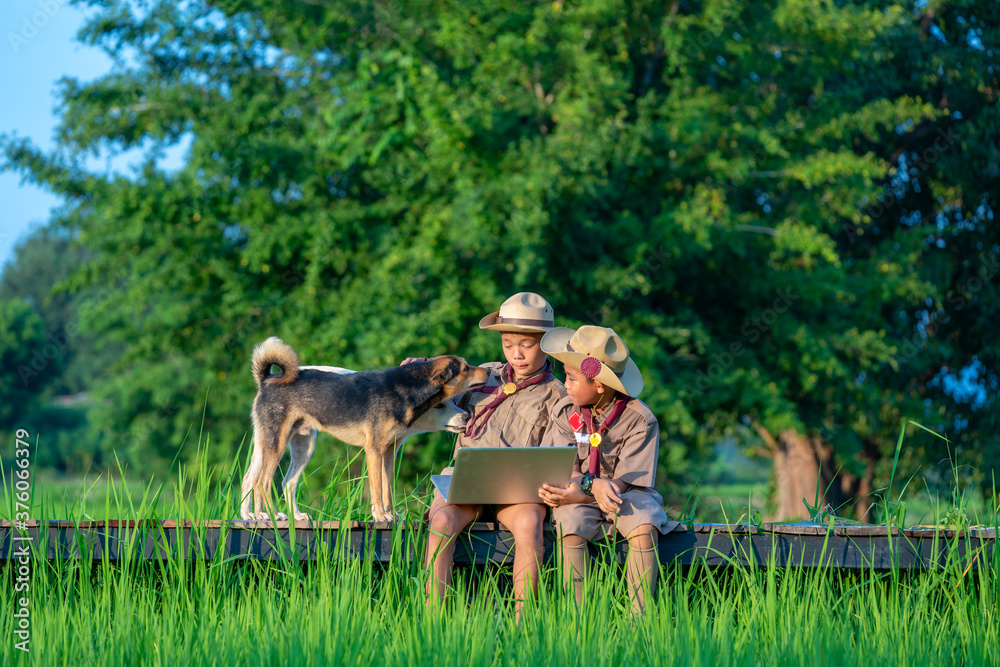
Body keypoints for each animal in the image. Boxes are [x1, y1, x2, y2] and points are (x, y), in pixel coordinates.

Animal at [242, 340, 492, 520]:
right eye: (465, 368)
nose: (489, 372)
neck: (407, 388)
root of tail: (267, 379)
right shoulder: (374, 450)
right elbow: (377, 490)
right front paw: (381, 517)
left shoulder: (389, 452)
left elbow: (388, 488)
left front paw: (393, 516)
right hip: (276, 444)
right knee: (262, 482)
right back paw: (270, 515)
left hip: (297, 445)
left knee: (276, 481)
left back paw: (275, 516)